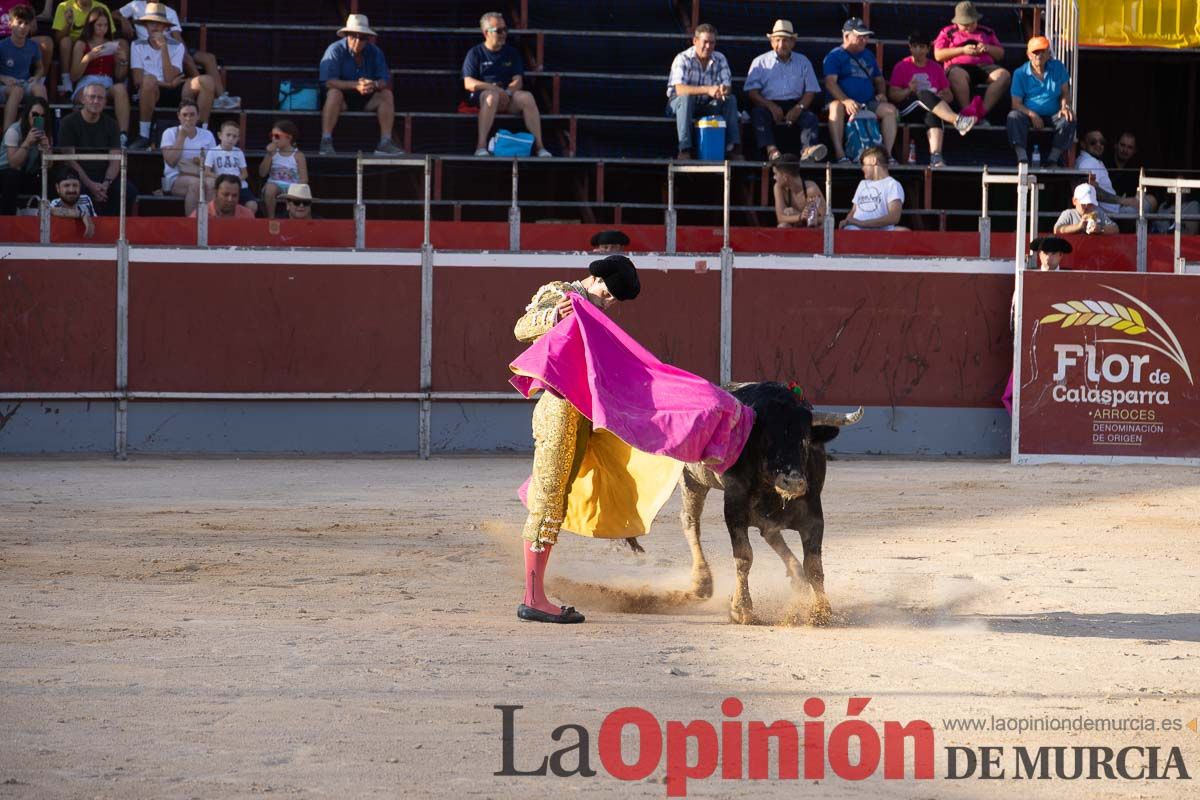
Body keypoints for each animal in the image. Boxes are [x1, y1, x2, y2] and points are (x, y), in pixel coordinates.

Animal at [681, 381, 859, 623]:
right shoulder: (734, 509)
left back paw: (798, 579)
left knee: (771, 534)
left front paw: (821, 612)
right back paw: (702, 583)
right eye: (766, 440)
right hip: (690, 477)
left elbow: (814, 565)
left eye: (804, 440)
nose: (793, 481)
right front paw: (742, 609)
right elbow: (744, 556)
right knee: (690, 521)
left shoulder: (814, 514)